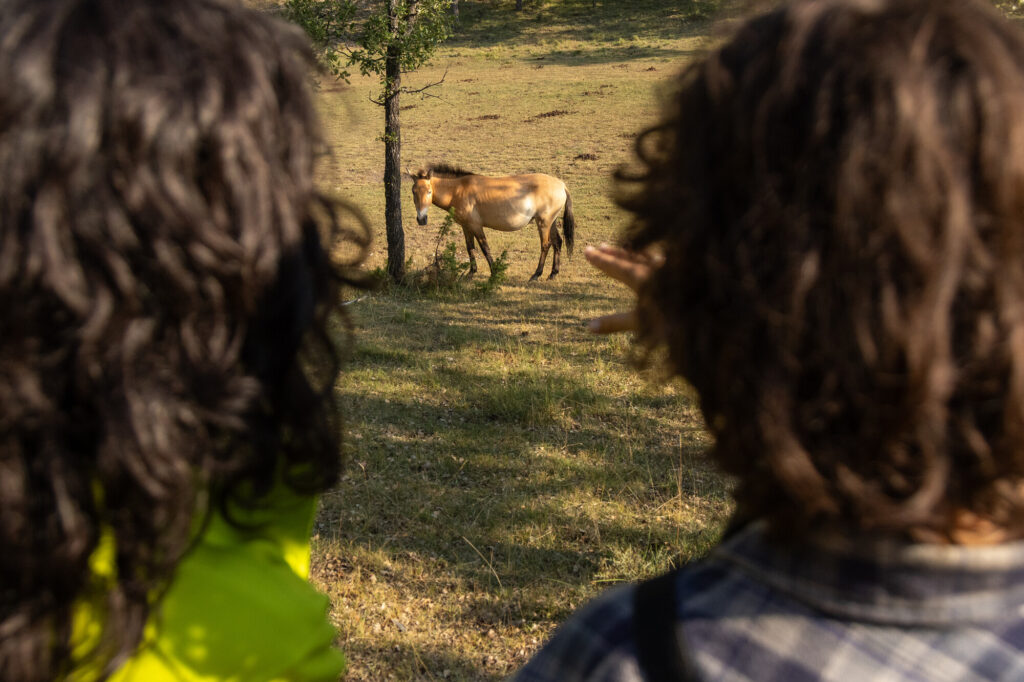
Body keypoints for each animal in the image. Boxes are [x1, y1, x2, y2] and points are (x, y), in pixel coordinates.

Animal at [409, 164, 576, 280]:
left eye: (429, 191)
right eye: (413, 191)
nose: (421, 219)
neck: (458, 190)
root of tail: (561, 185)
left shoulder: (476, 226)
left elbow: (485, 248)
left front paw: (494, 272)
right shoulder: (466, 227)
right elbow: (470, 248)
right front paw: (471, 273)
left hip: (543, 223)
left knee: (546, 245)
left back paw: (536, 275)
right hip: (550, 222)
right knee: (558, 242)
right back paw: (553, 274)